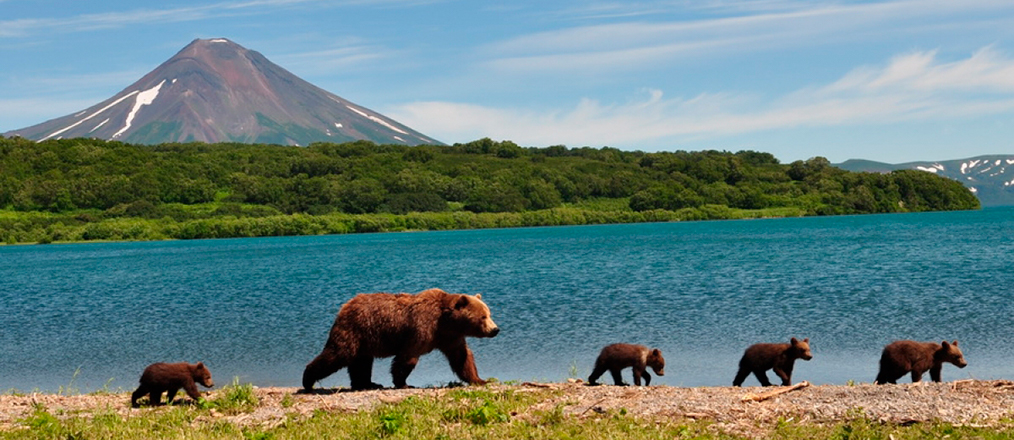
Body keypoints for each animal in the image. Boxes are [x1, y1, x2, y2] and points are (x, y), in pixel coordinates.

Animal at [298, 289, 500, 389]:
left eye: (489, 313)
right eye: (483, 316)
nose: (495, 329)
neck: (445, 321)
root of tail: (345, 306)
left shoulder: (450, 337)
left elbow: (462, 357)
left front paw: (480, 380)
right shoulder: (421, 328)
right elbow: (407, 357)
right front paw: (403, 383)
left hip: (365, 338)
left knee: (361, 362)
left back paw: (368, 384)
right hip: (355, 329)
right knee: (338, 354)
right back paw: (307, 380)